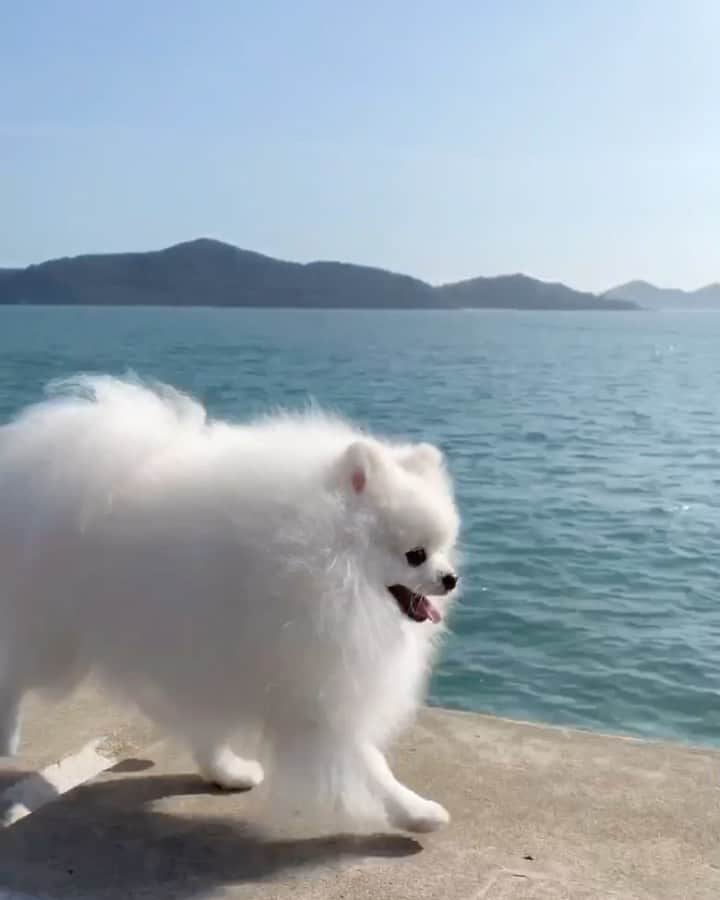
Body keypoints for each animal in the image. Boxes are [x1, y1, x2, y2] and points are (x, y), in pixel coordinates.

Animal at [0, 376, 462, 832]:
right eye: (415, 555)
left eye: (443, 548)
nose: (451, 578)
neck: (325, 562)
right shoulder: (314, 690)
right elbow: (367, 760)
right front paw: (415, 811)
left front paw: (223, 769)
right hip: (56, 641)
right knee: (14, 673)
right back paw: (7, 736)